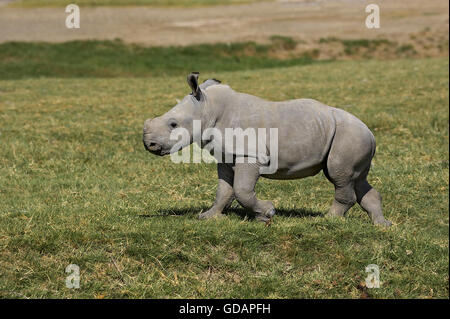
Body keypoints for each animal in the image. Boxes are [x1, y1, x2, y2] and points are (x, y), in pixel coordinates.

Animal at [142, 72, 392, 228]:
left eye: (173, 124)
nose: (149, 145)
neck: (208, 109)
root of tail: (370, 132)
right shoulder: (226, 157)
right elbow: (224, 191)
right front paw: (208, 217)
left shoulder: (250, 154)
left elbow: (242, 190)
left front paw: (267, 214)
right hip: (351, 136)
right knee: (356, 179)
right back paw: (382, 225)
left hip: (349, 135)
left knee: (339, 175)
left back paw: (326, 220)